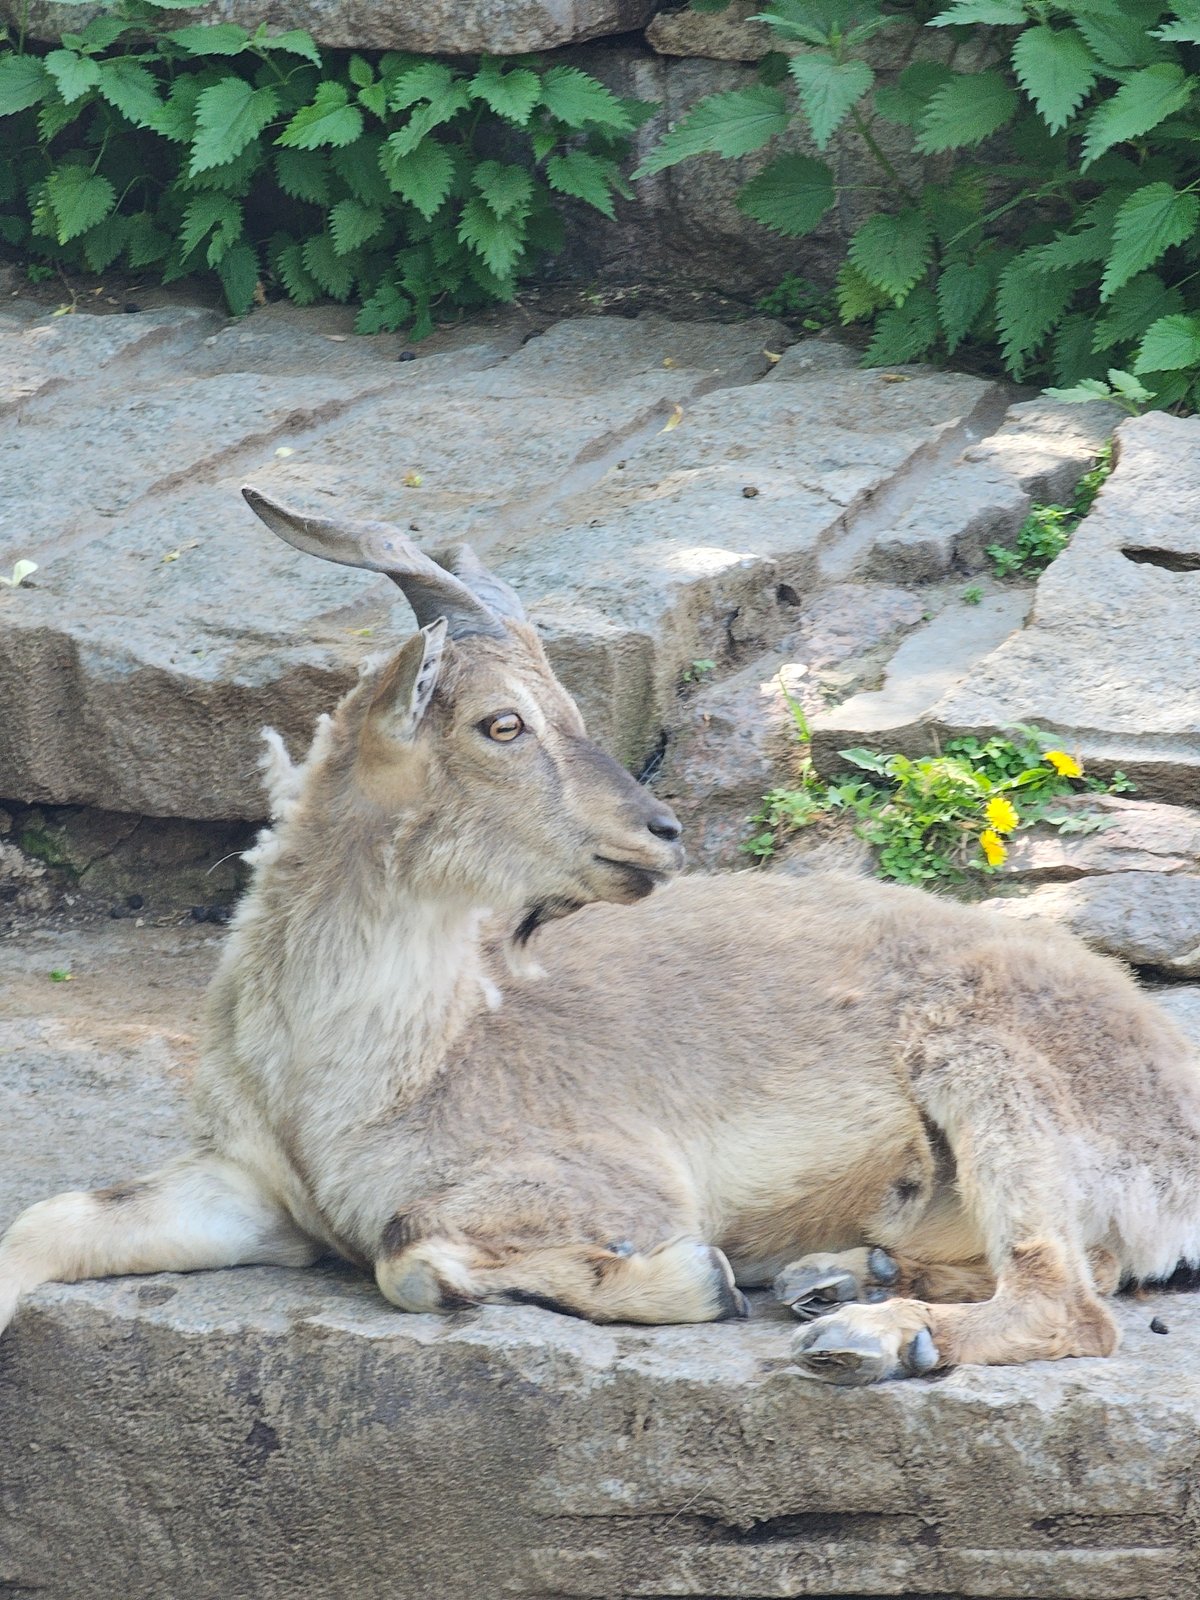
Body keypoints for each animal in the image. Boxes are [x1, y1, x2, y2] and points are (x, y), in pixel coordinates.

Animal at [3, 486, 1199, 1386]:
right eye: (504, 722)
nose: (661, 831)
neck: (378, 1064)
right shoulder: (249, 1183)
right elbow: (48, 1222)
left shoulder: (615, 1178)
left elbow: (407, 1250)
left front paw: (690, 1280)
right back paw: (836, 1276)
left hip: (995, 1075)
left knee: (1068, 1298)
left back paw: (863, 1334)